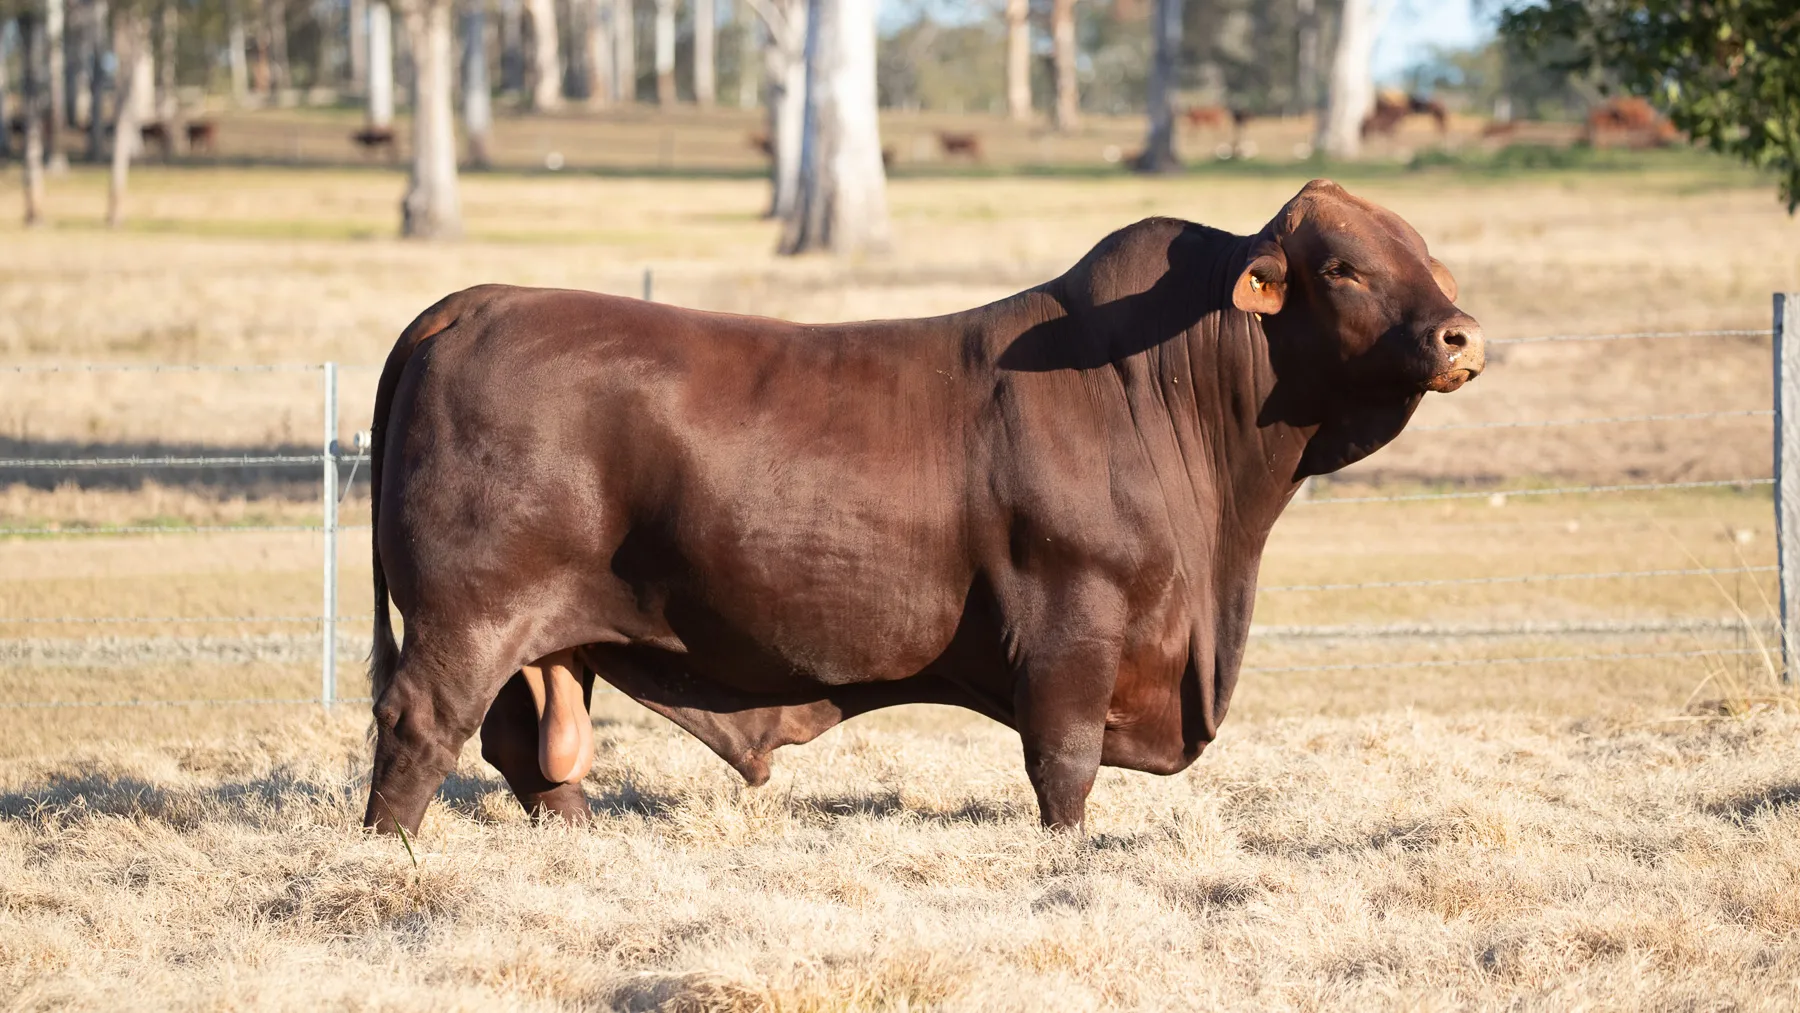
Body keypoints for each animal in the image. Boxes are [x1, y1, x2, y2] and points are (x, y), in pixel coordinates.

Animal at [361, 179, 1485, 836]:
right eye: (1342, 266)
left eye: (1430, 257)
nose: (1461, 335)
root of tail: (477, 300)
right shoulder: (1072, 622)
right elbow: (1064, 765)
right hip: (469, 611)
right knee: (422, 723)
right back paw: (394, 852)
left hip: (543, 633)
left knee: (527, 743)